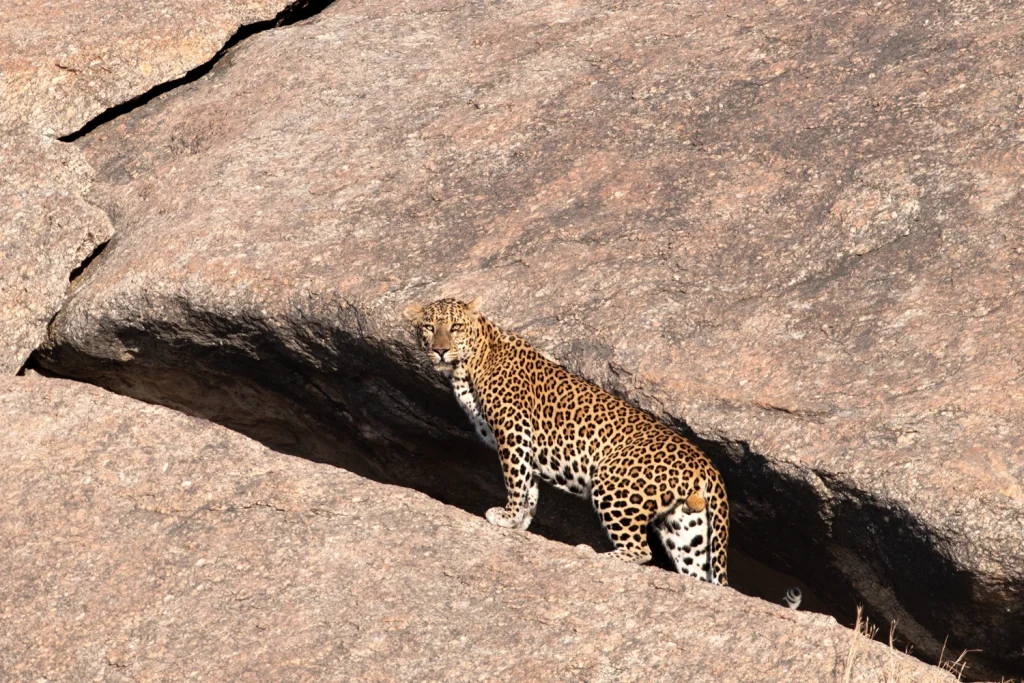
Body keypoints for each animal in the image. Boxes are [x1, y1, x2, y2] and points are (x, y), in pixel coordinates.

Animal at [404, 297, 729, 585]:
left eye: (456, 326)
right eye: (430, 327)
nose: (440, 351)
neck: (468, 366)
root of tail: (705, 463)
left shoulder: (513, 430)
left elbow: (515, 480)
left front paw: (507, 516)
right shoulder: (524, 444)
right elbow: (529, 487)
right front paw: (520, 522)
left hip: (614, 484)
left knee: (640, 550)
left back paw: (592, 553)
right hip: (686, 528)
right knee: (698, 571)